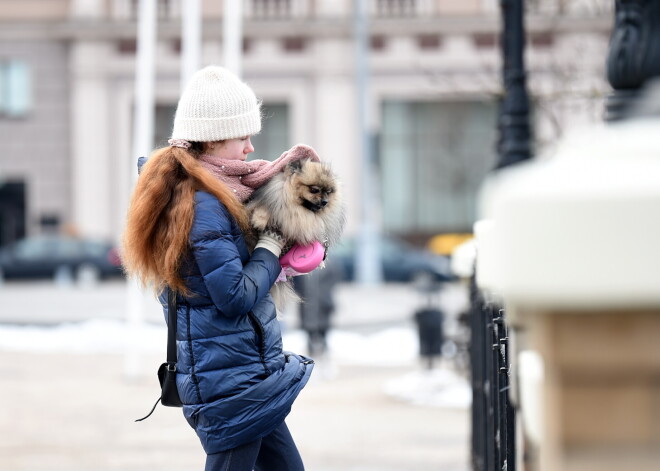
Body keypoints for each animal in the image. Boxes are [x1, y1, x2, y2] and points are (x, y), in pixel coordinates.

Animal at [246, 159, 346, 312]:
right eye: (314, 190)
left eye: (328, 192)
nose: (325, 202)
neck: (297, 208)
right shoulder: (274, 200)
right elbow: (263, 207)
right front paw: (259, 220)